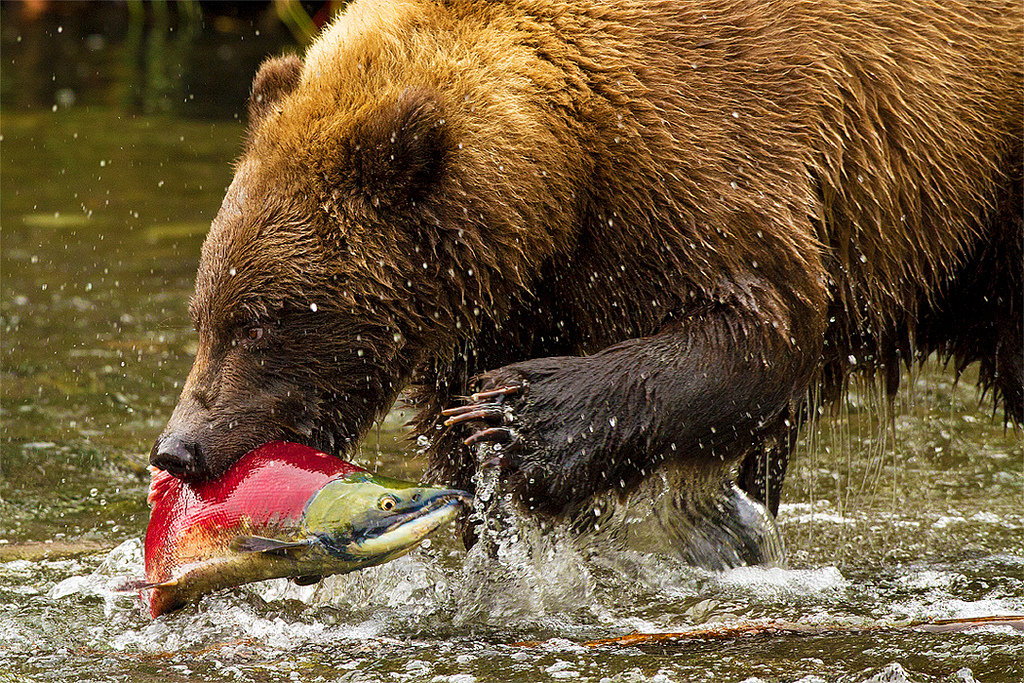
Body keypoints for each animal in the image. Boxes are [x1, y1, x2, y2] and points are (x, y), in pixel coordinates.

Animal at [149, 0, 1015, 565]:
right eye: (207, 312)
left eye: (264, 319)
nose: (179, 447)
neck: (558, 179)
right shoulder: (518, 293)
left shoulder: (706, 158)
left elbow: (757, 329)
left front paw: (514, 418)